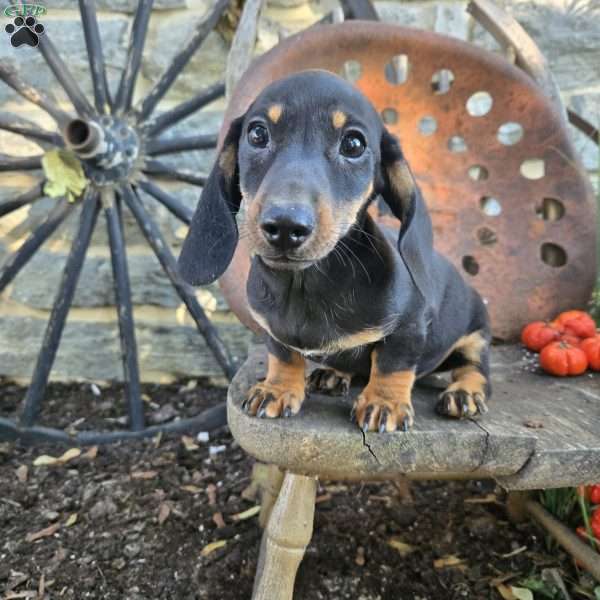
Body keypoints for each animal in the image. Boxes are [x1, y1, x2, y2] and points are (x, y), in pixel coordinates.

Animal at [179, 70, 492, 434]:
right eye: (257, 133)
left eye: (353, 144)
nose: (285, 226)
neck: (306, 283)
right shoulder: (271, 328)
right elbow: (282, 354)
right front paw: (278, 388)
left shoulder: (410, 326)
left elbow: (392, 363)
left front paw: (384, 402)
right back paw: (333, 373)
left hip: (476, 334)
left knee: (475, 369)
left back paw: (464, 393)